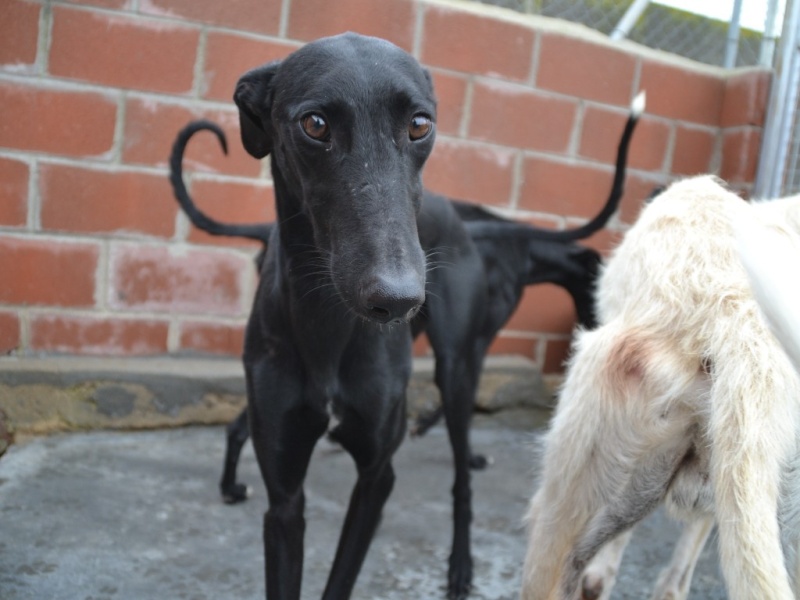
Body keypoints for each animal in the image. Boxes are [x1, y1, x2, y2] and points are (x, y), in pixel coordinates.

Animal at [170, 34, 644, 600]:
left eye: (420, 124)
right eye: (314, 124)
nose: (396, 299)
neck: (330, 327)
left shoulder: (378, 477)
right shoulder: (284, 498)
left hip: (457, 367)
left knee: (462, 478)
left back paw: (461, 563)